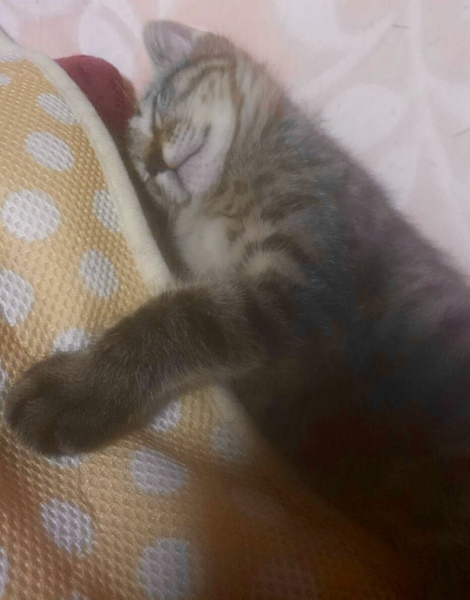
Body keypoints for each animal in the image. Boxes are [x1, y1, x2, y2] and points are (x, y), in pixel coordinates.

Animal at [4, 20, 470, 597]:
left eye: (161, 104)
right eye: (137, 162)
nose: (152, 163)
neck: (223, 191)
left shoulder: (301, 286)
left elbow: (182, 317)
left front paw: (73, 391)